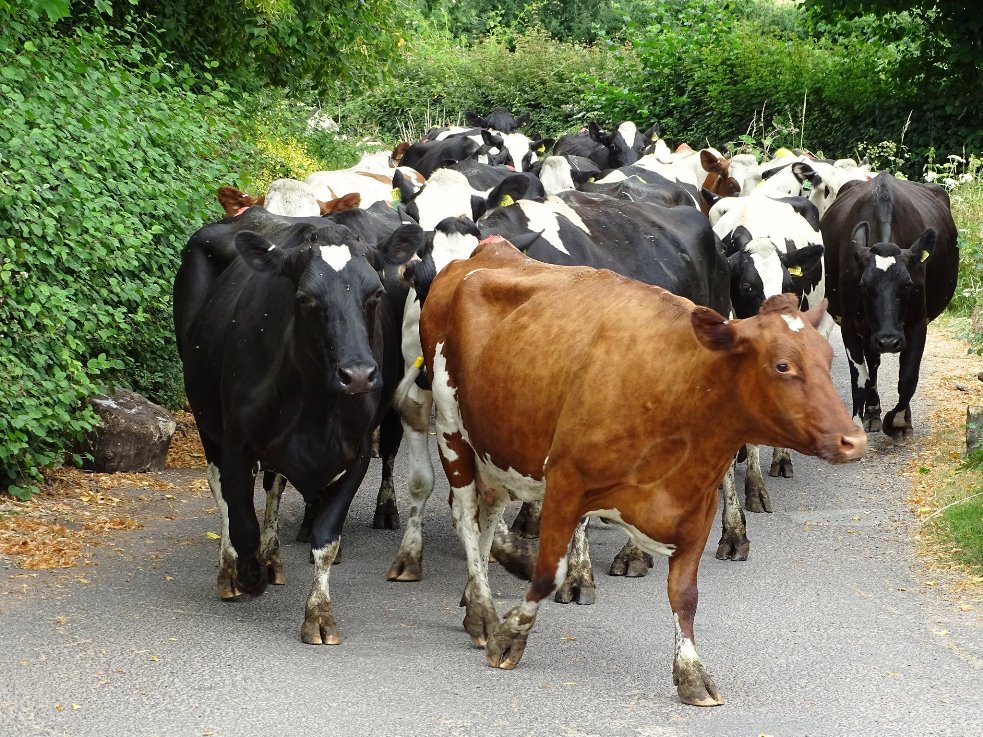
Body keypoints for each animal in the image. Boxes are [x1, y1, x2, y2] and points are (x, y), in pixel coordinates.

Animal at [175, 204, 420, 640]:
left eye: (375, 293)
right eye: (306, 298)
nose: (358, 375)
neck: (315, 410)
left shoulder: (357, 452)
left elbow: (326, 536)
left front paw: (319, 614)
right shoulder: (237, 443)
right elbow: (241, 520)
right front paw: (247, 574)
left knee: (280, 482)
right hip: (205, 417)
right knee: (220, 489)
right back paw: (234, 567)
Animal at [418, 239, 864, 704]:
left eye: (827, 357)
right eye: (782, 365)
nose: (853, 439)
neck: (676, 391)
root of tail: (488, 251)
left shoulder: (696, 505)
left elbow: (685, 594)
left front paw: (691, 673)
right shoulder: (566, 484)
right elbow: (547, 574)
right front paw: (509, 637)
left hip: (496, 442)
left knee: (487, 512)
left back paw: (479, 593)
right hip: (451, 427)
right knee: (465, 514)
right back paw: (484, 613)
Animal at [820, 172, 956, 436]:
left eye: (908, 285)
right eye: (863, 285)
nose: (889, 341)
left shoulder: (917, 323)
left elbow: (908, 377)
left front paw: (899, 420)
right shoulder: (849, 324)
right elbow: (860, 379)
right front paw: (858, 421)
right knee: (872, 365)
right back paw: (872, 413)